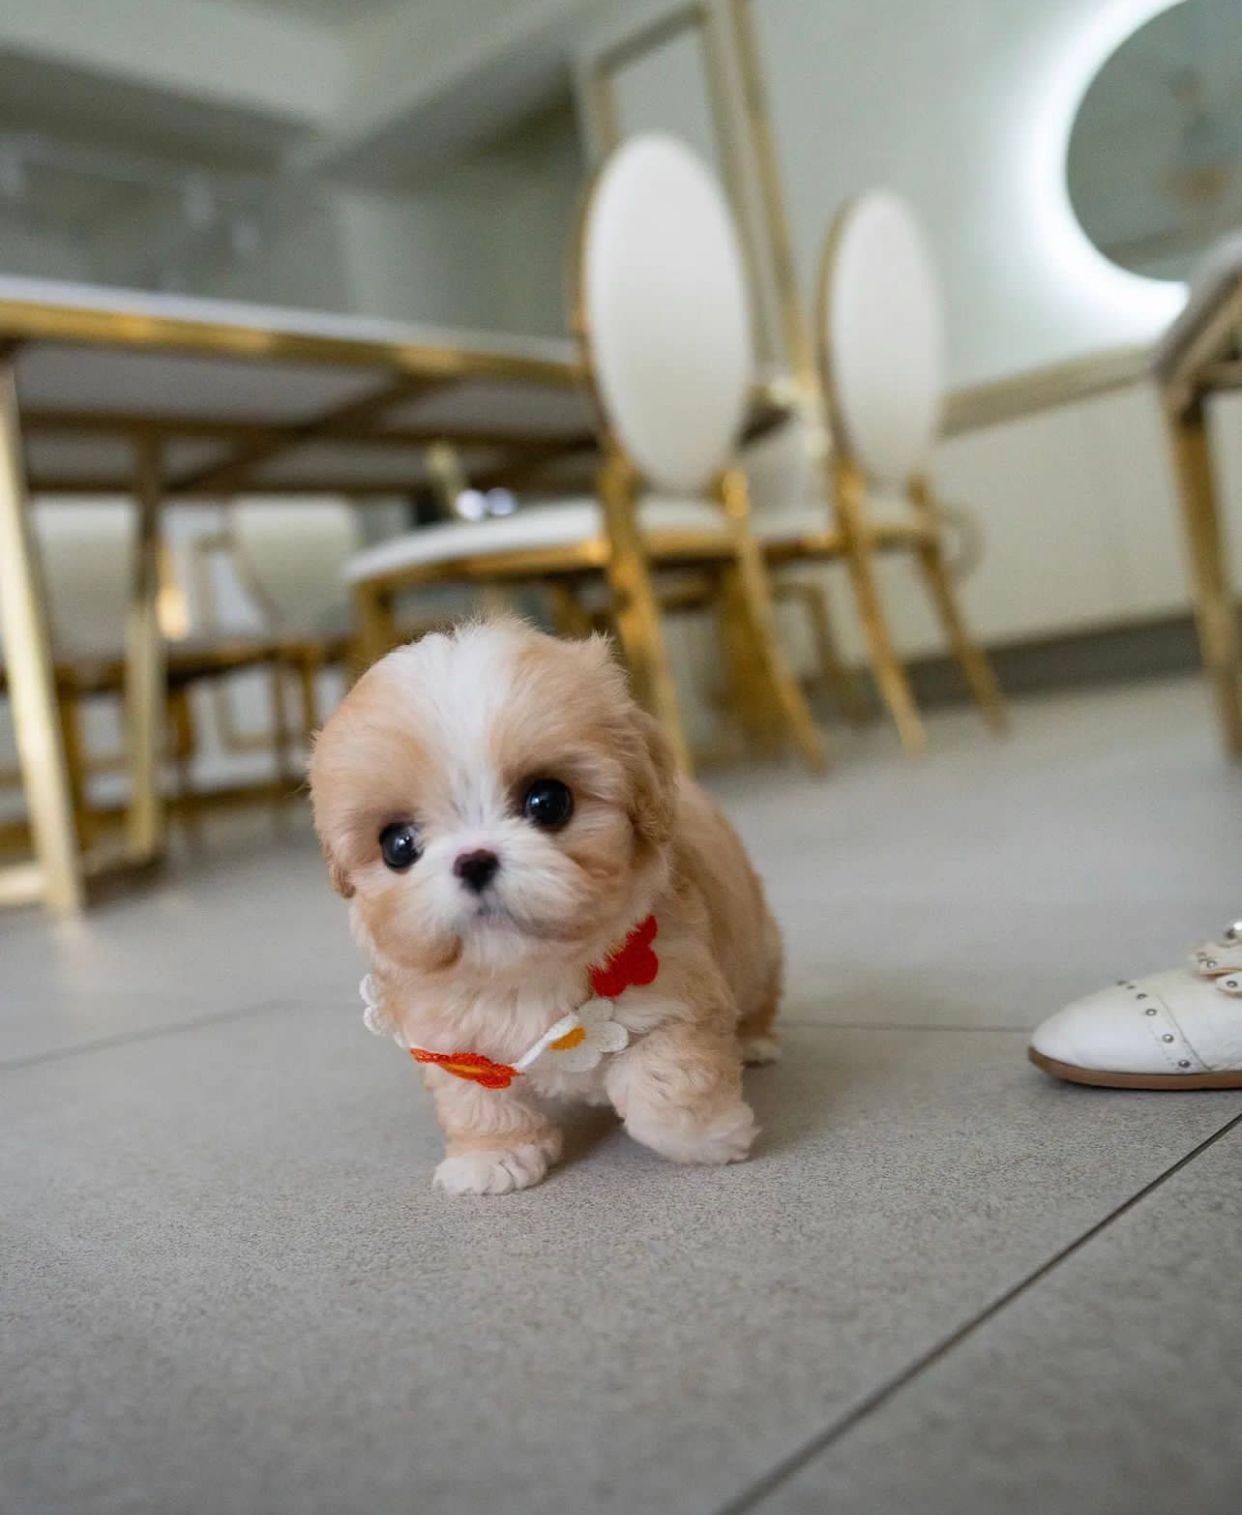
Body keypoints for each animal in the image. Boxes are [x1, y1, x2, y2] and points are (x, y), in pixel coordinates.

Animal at [308, 615, 781, 1193]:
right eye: (398, 845)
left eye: (548, 801)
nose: (474, 860)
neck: (524, 977)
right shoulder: (454, 1043)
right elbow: (477, 1102)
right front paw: (491, 1158)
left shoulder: (674, 998)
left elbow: (666, 1081)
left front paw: (708, 1138)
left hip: (757, 945)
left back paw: (755, 1042)